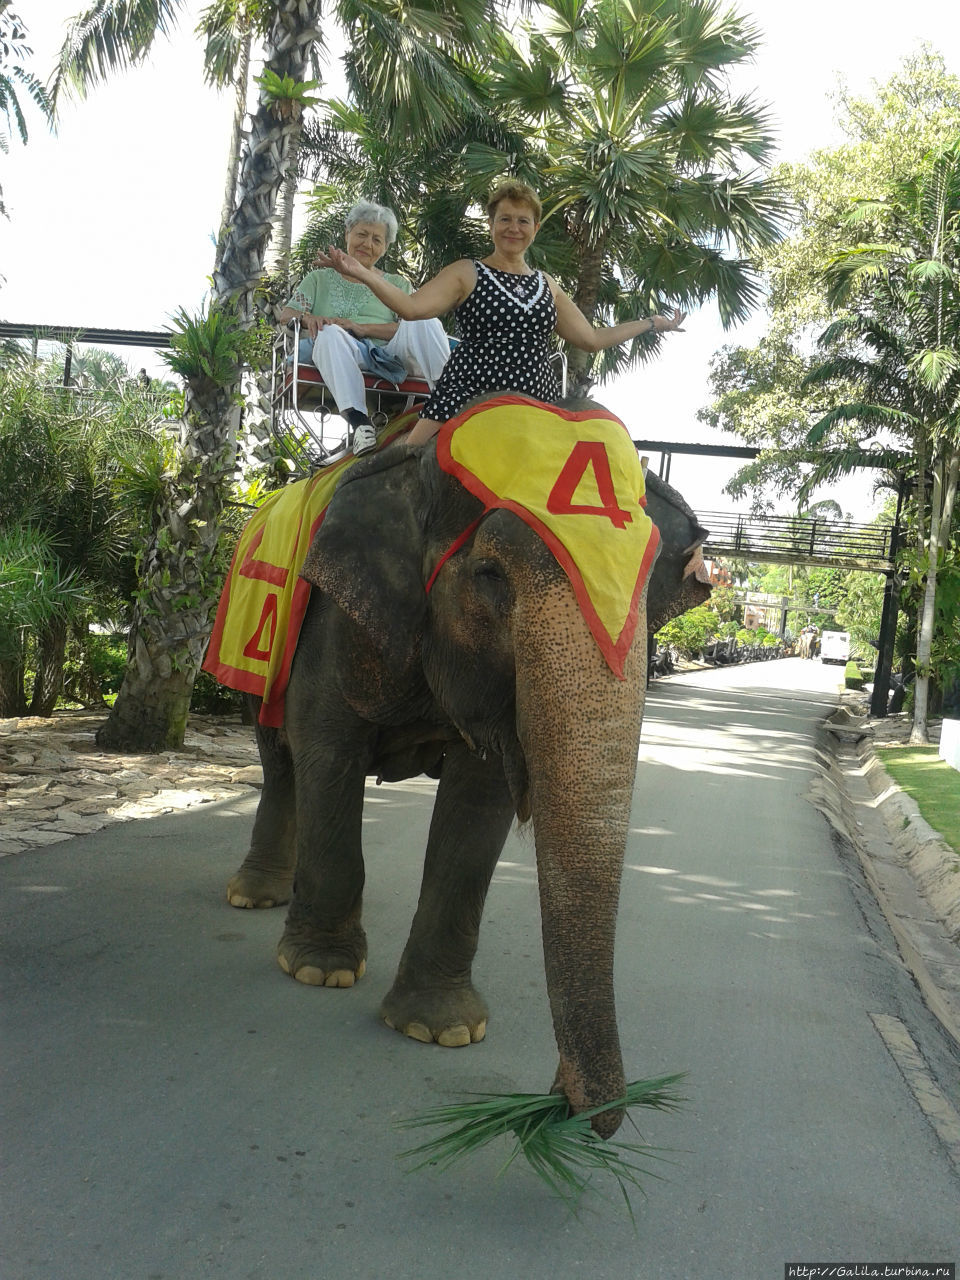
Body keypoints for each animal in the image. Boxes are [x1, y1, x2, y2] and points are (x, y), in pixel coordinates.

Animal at [221, 401, 711, 1141]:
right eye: (491, 575)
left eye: (649, 586)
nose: (563, 1099)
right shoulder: (334, 614)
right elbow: (328, 747)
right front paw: (320, 971)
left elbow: (480, 802)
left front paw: (442, 1029)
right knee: (281, 757)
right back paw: (258, 898)